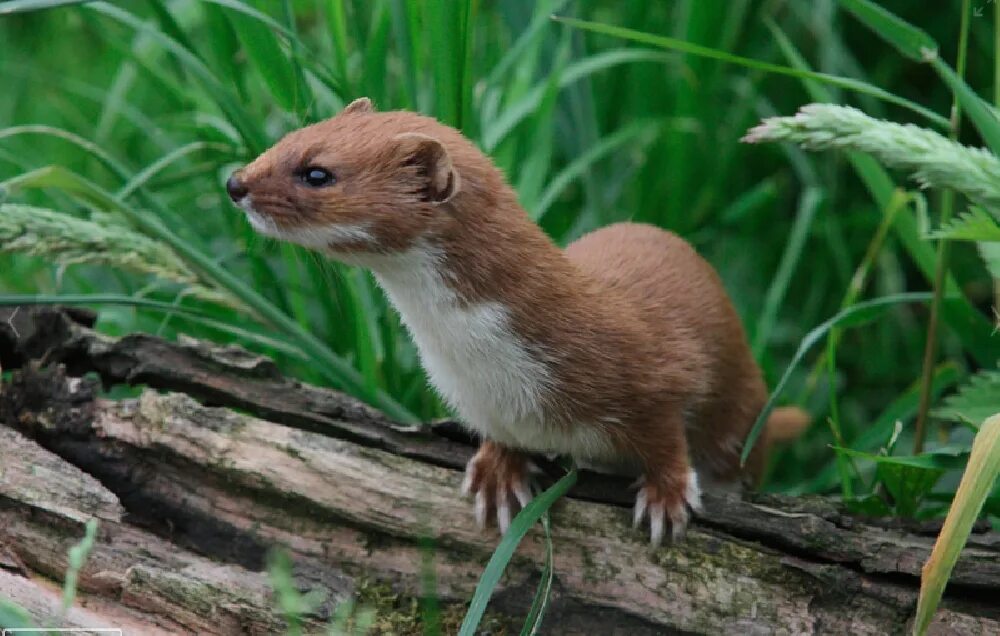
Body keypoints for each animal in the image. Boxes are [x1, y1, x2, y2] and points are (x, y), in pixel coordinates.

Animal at [227, 97, 804, 544]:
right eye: (291, 136)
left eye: (317, 172)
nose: (235, 182)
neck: (484, 365)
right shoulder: (485, 403)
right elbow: (502, 439)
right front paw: (497, 475)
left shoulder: (656, 367)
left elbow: (666, 435)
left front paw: (667, 496)